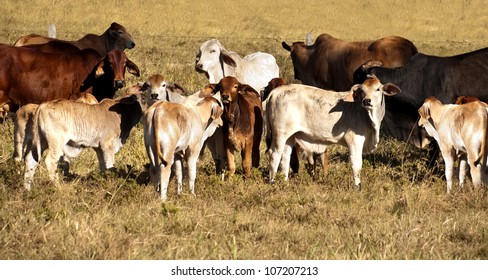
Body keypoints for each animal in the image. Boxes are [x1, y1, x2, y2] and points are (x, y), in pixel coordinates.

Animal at [266, 76, 400, 188]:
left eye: (378, 89)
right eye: (362, 91)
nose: (367, 101)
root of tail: (276, 91)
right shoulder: (354, 141)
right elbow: (356, 165)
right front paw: (358, 187)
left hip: (290, 136)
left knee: (285, 156)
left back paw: (284, 182)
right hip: (280, 134)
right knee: (274, 154)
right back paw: (272, 182)